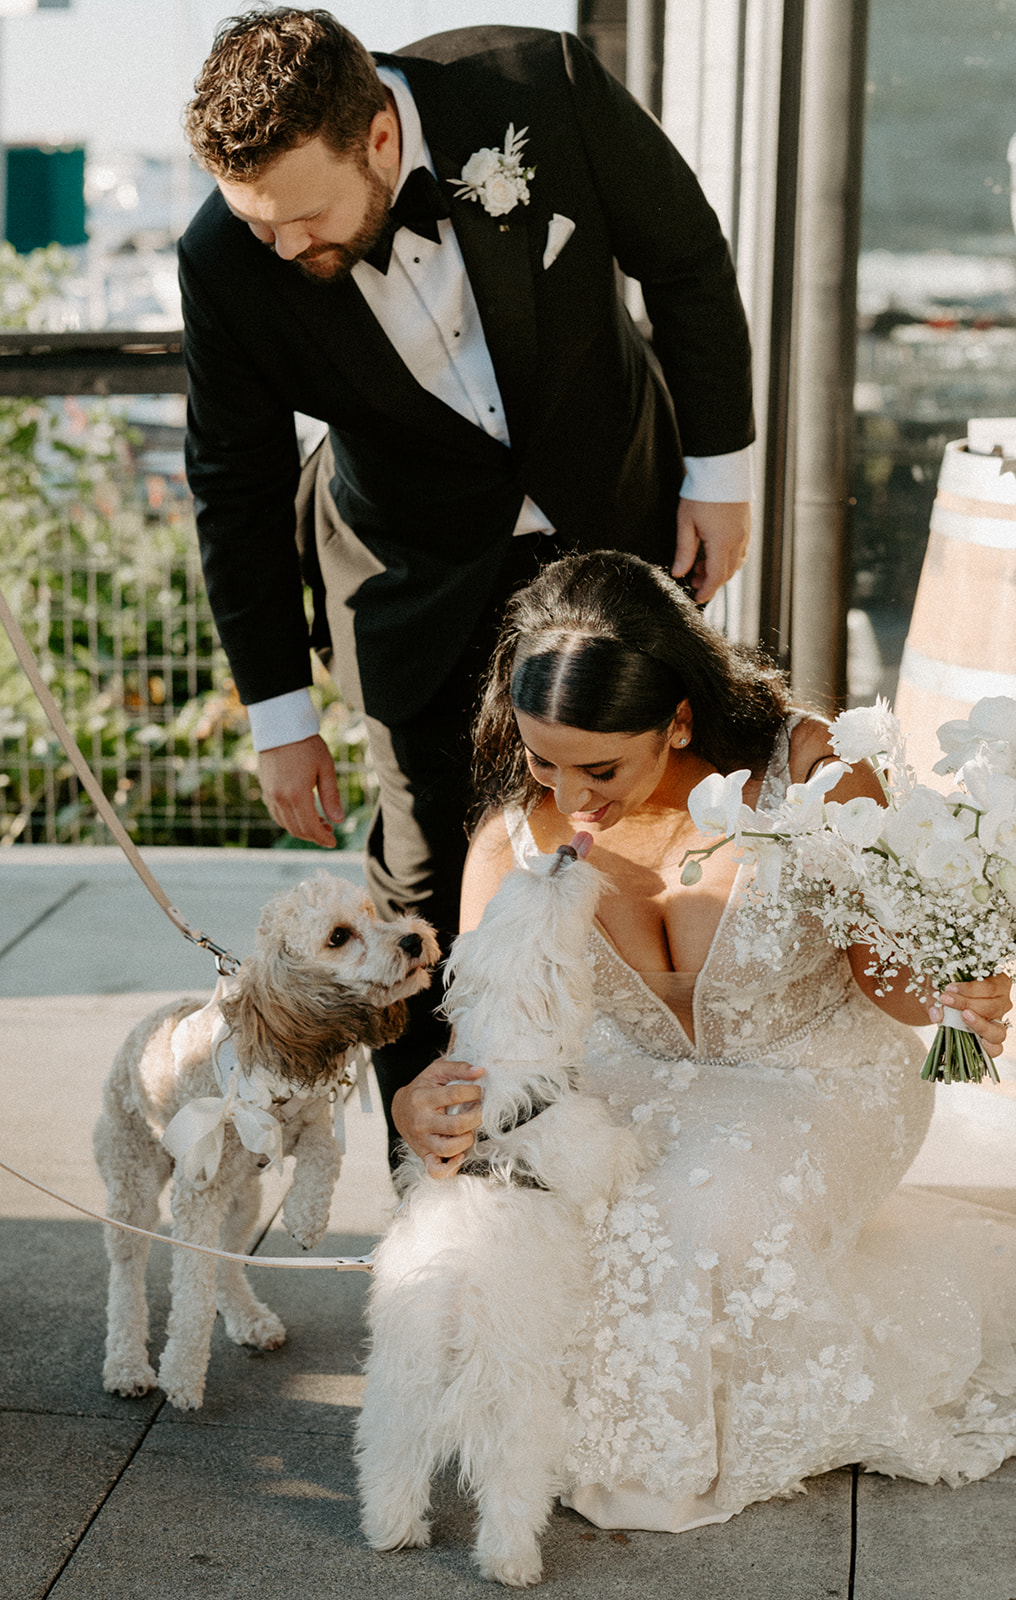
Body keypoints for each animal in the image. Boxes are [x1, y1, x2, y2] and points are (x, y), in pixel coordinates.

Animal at [96, 876, 441, 1414]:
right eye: (338, 937)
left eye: (370, 913)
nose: (412, 939)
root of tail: (142, 1027)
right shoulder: (196, 1199)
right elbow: (192, 1295)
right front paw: (182, 1377)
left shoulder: (311, 1121)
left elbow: (325, 1157)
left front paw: (305, 1220)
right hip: (133, 1186)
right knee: (127, 1274)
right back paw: (127, 1364)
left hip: (244, 1201)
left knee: (228, 1256)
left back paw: (250, 1320)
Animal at [358, 838, 643, 1587]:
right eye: (554, 883)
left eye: (530, 874)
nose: (566, 847)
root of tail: (453, 1314)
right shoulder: (586, 1141)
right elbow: (620, 1153)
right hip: (523, 1411)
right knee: (512, 1495)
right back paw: (513, 1563)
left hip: (397, 1393)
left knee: (389, 1466)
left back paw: (392, 1534)